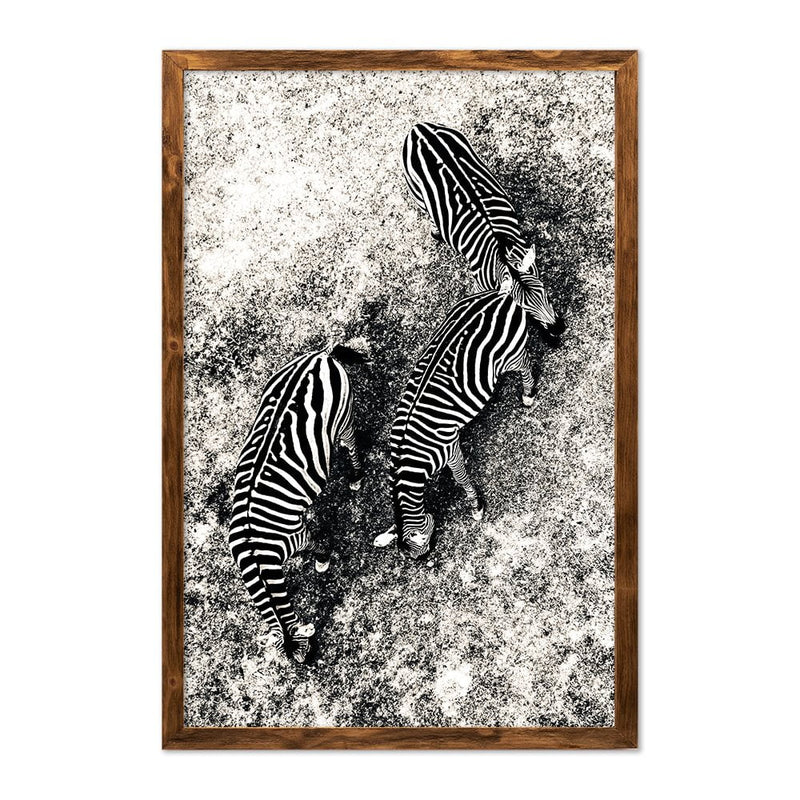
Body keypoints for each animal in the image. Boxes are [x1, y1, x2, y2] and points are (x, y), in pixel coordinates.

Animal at [228, 344, 367, 663]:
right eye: (295, 659)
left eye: (306, 652)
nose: (311, 666)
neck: (257, 556)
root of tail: (320, 356)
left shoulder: (296, 534)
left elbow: (315, 543)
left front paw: (322, 560)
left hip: (343, 416)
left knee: (351, 443)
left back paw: (356, 477)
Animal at [374, 283, 561, 558]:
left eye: (422, 550)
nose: (428, 560)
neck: (411, 460)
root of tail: (500, 293)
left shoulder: (450, 448)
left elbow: (461, 479)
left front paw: (476, 507)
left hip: (510, 356)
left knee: (526, 365)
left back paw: (528, 394)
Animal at [402, 121, 565, 346]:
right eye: (525, 310)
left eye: (546, 293)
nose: (559, 328)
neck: (501, 254)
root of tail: (419, 128)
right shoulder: (482, 285)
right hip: (417, 194)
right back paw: (436, 232)